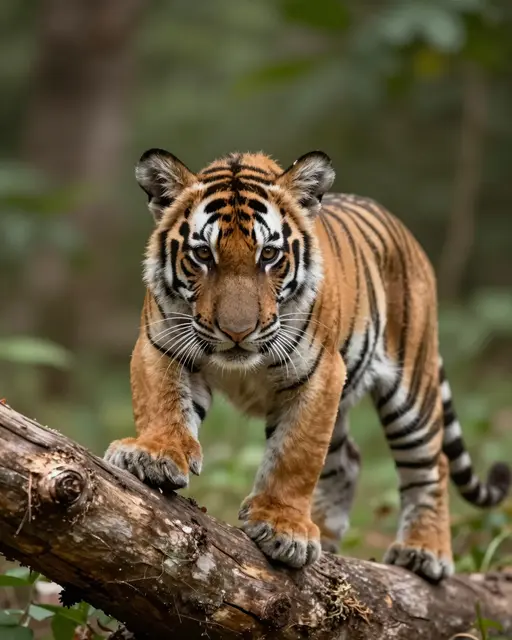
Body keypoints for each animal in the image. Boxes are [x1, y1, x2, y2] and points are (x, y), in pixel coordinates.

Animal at [104, 147, 510, 582]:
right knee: (347, 460)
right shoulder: (161, 345)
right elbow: (161, 403)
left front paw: (283, 528)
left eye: (269, 254)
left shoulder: (320, 375)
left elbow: (296, 455)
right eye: (202, 255)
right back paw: (329, 535)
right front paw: (154, 455)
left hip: (412, 388)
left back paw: (424, 551)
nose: (236, 332)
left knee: (431, 464)